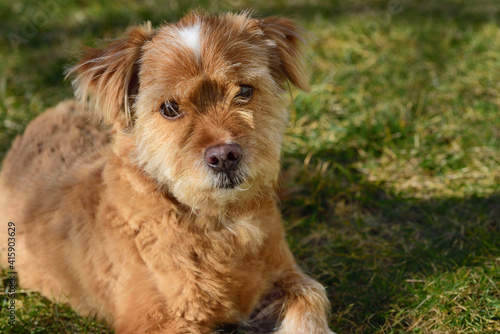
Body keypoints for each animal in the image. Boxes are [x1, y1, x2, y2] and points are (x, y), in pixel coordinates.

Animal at [1, 11, 334, 334]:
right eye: (169, 108)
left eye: (244, 91)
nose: (224, 156)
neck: (221, 223)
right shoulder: (154, 321)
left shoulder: (286, 276)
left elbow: (311, 299)